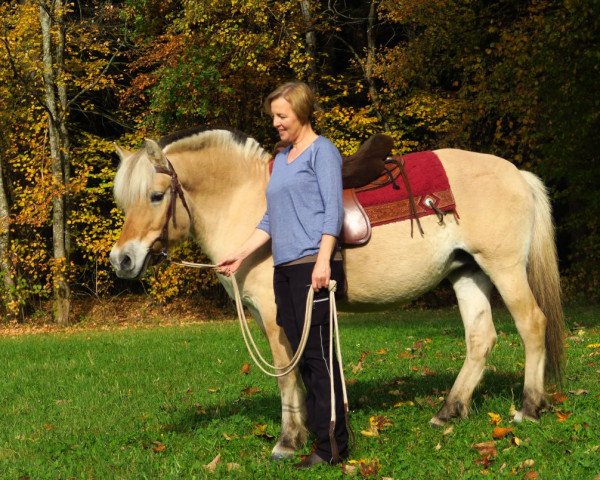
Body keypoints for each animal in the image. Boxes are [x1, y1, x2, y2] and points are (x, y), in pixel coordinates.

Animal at [108, 127, 564, 462]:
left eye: (156, 195)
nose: (122, 260)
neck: (251, 206)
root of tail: (517, 174)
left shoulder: (276, 312)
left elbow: (286, 372)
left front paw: (288, 441)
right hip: (467, 273)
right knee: (480, 338)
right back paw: (449, 410)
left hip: (504, 269)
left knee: (532, 325)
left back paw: (528, 408)